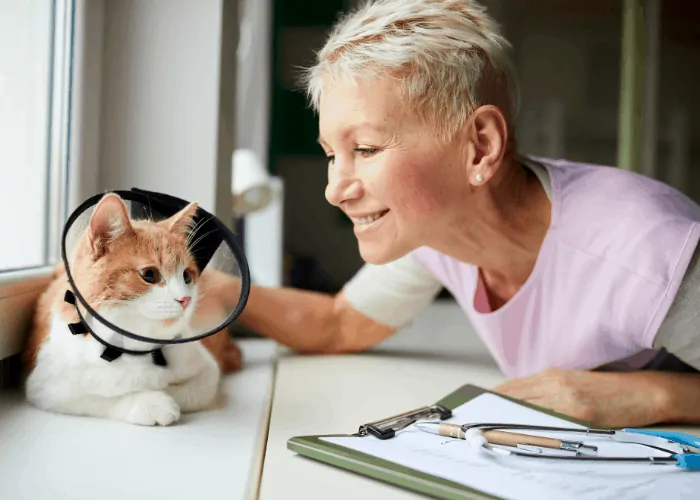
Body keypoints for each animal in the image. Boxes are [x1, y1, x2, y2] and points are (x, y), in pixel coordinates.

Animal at [21, 191, 245, 426]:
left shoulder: (207, 368)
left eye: (186, 276)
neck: (135, 349)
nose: (185, 299)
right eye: (149, 275)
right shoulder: (47, 387)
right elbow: (101, 398)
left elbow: (193, 391)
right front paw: (152, 401)